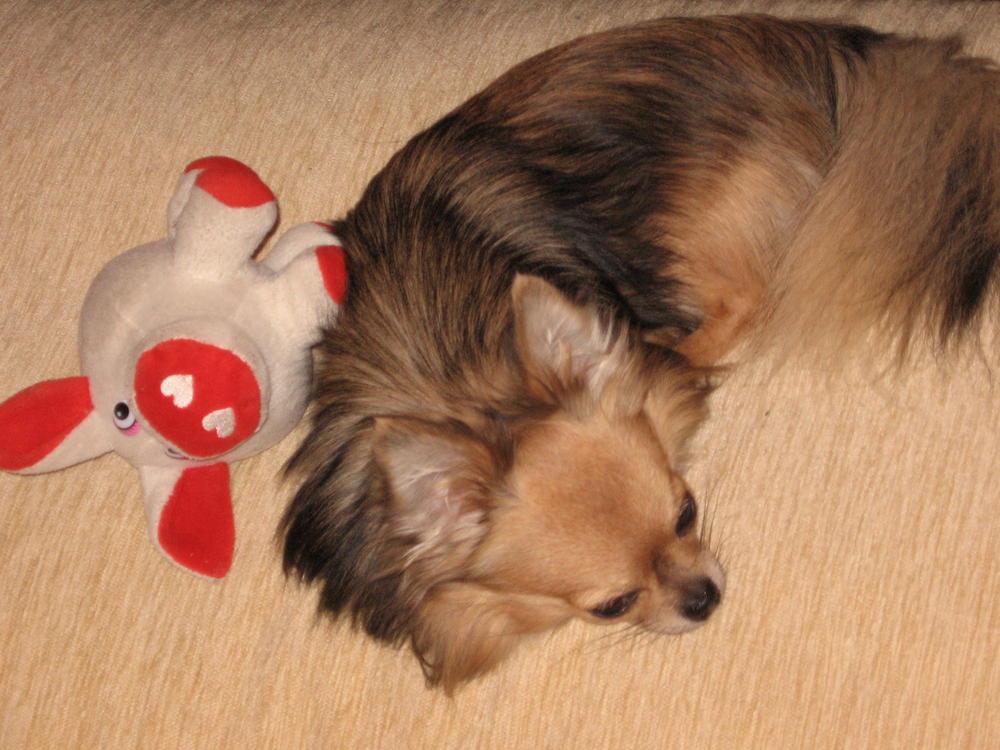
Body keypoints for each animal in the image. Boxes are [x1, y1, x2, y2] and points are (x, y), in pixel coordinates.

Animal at [281, 15, 1000, 692]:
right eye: (613, 605)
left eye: (688, 512)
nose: (705, 598)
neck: (465, 383)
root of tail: (824, 43)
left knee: (747, 298)